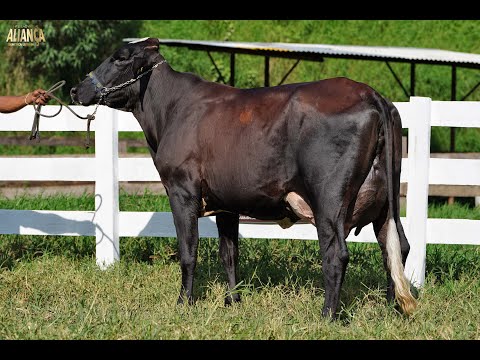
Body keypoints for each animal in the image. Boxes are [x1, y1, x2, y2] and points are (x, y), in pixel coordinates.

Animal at [70, 36, 416, 318]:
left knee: (336, 254)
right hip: (385, 199)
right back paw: (391, 308)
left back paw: (328, 315)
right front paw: (232, 301)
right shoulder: (226, 201)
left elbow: (188, 251)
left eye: (119, 57)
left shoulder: (181, 190)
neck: (170, 110)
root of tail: (371, 94)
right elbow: (229, 253)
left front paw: (184, 303)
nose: (76, 88)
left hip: (329, 198)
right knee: (396, 246)